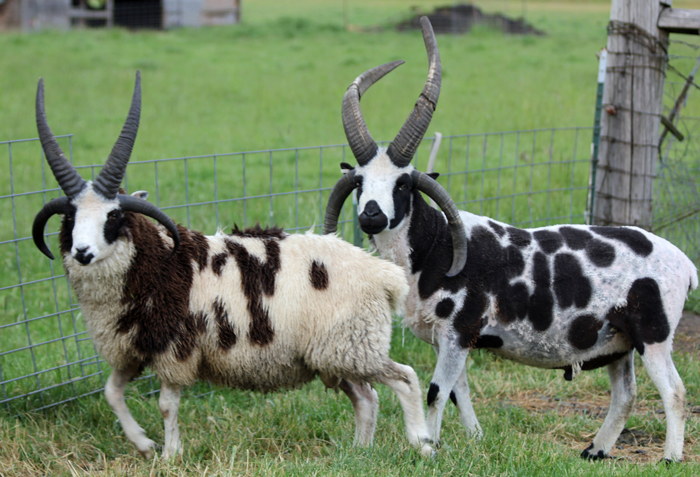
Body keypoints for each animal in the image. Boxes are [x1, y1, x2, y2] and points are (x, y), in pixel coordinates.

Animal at [31, 72, 435, 459]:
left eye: (113, 216)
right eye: (70, 217)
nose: (82, 252)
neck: (157, 262)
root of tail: (383, 274)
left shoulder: (176, 350)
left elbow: (166, 405)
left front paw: (170, 455)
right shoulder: (136, 347)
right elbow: (111, 393)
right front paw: (144, 444)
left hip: (353, 344)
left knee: (405, 378)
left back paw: (423, 443)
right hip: (333, 353)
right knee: (366, 397)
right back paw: (358, 452)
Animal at [324, 16, 698, 462]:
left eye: (402, 185)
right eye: (360, 182)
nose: (371, 216)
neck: (435, 248)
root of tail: (685, 264)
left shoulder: (458, 330)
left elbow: (436, 392)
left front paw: (430, 446)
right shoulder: (447, 340)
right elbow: (458, 392)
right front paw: (474, 439)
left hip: (653, 333)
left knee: (674, 391)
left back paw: (670, 457)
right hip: (618, 341)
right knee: (626, 395)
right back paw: (595, 450)